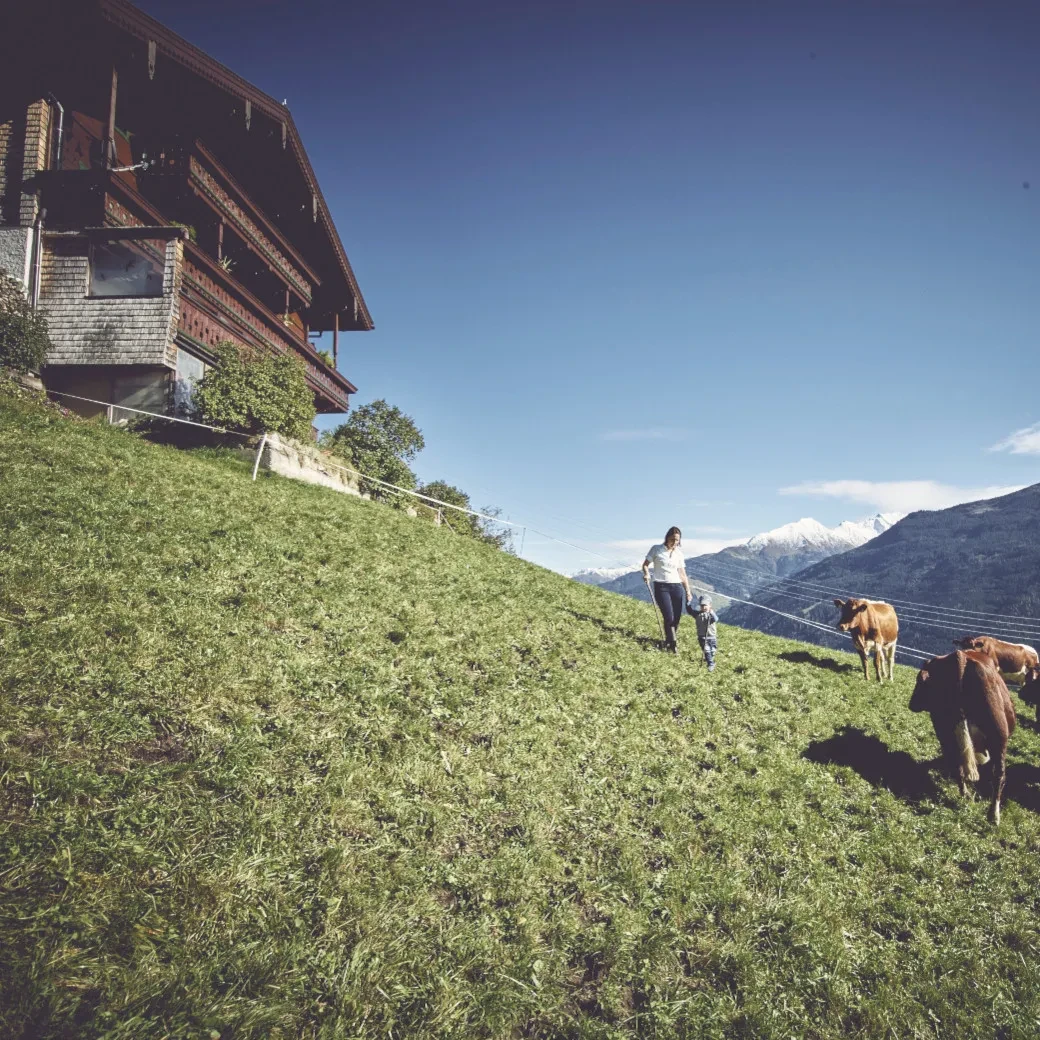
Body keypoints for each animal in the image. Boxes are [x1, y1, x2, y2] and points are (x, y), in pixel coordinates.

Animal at [911, 648, 1015, 827]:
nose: (911, 704)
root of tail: (960, 656)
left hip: (943, 730)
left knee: (956, 762)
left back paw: (965, 794)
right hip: (999, 736)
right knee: (999, 774)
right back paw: (993, 816)